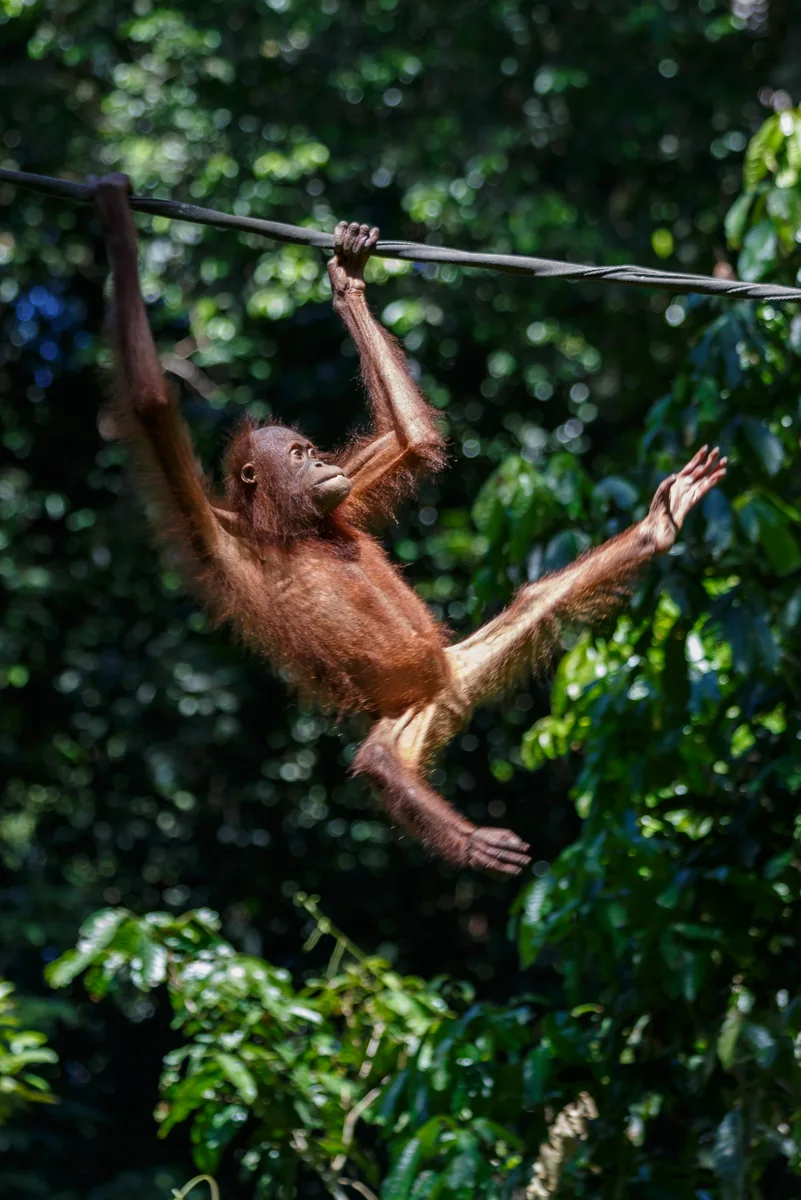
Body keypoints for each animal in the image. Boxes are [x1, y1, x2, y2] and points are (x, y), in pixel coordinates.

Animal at [92, 173, 726, 875]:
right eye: (296, 456)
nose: (320, 462)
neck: (290, 527)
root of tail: (444, 691)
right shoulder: (214, 527)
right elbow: (152, 403)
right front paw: (115, 218)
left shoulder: (344, 497)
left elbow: (415, 441)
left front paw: (346, 277)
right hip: (405, 718)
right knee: (375, 760)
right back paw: (463, 835)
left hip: (459, 670)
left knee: (539, 601)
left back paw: (657, 527)